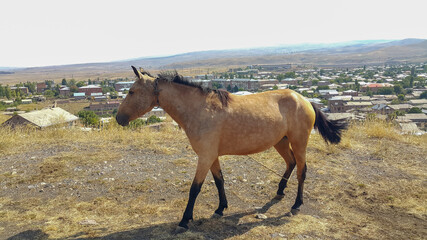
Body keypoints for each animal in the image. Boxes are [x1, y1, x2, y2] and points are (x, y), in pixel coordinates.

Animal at [117, 66, 348, 232]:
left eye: (132, 91)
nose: (119, 118)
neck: (201, 109)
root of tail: (305, 99)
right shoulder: (211, 156)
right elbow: (219, 180)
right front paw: (220, 208)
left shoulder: (205, 156)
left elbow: (195, 188)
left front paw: (184, 220)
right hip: (280, 142)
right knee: (290, 163)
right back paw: (280, 191)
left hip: (299, 142)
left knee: (301, 170)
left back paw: (296, 204)